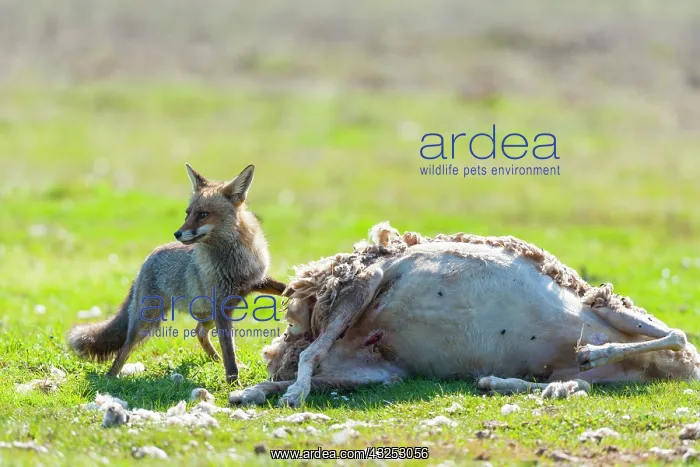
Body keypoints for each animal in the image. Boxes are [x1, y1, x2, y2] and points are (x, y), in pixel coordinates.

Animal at [68, 163, 287, 383]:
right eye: (187, 213)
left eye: (203, 214)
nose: (177, 233)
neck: (234, 261)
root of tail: (147, 259)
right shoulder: (221, 307)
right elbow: (229, 352)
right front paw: (234, 382)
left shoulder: (255, 282)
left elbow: (282, 288)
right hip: (146, 322)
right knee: (124, 349)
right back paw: (111, 377)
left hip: (206, 314)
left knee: (199, 332)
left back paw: (214, 359)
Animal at [230, 222, 700, 408]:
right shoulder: (607, 307)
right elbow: (678, 332)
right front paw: (590, 353)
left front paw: (497, 382)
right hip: (360, 285)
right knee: (311, 357)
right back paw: (288, 394)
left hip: (375, 369)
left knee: (317, 369)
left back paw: (253, 392)